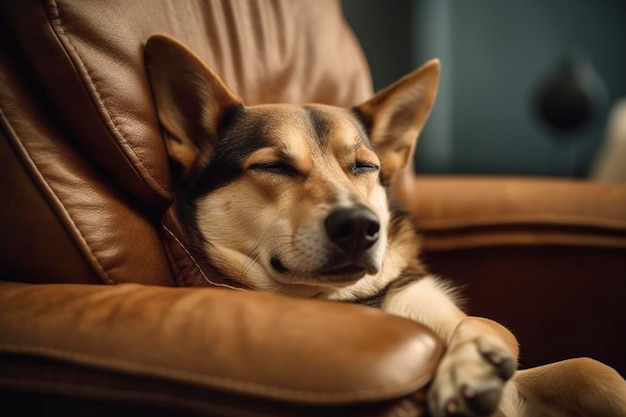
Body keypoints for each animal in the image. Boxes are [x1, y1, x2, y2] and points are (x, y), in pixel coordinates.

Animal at [143, 35, 624, 416]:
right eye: (274, 166)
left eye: (364, 166)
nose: (360, 226)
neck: (358, 300)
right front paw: (472, 367)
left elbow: (582, 365)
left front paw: (473, 360)